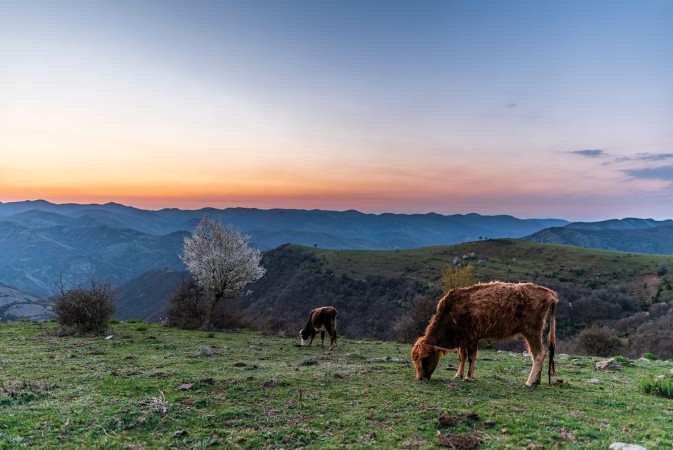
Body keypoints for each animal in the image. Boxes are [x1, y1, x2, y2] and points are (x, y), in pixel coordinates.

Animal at [411, 281, 557, 387]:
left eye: (425, 358)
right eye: (415, 360)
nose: (420, 378)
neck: (451, 313)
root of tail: (549, 293)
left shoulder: (472, 337)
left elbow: (471, 357)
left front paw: (468, 377)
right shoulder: (463, 339)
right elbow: (462, 357)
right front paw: (458, 375)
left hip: (532, 331)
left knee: (538, 354)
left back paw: (529, 383)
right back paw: (536, 382)